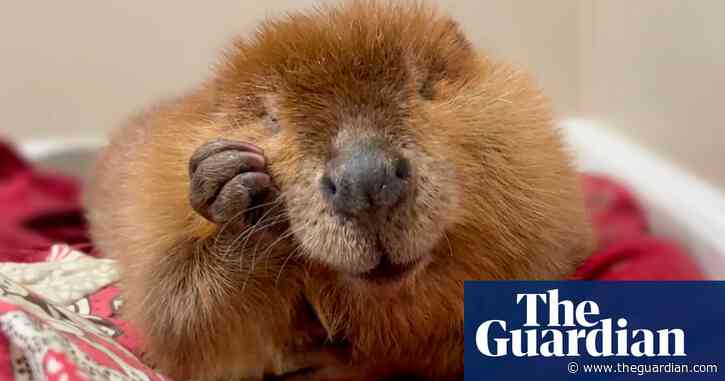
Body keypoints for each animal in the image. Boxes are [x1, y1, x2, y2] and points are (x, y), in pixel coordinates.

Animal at [85, 1, 592, 378]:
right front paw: (235, 185)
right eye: (271, 117)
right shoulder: (150, 203)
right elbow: (179, 324)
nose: (365, 180)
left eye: (425, 87)